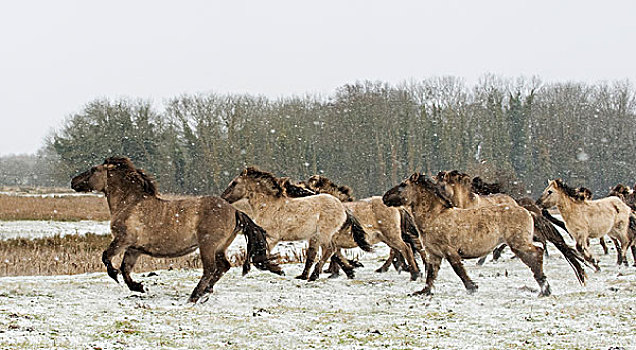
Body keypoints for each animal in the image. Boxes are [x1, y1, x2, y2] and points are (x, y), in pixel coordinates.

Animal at [69, 157, 280, 302]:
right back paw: (205, 293)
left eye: (93, 169)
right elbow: (126, 269)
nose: (73, 181)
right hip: (219, 247)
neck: (130, 204)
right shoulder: (134, 249)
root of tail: (235, 210)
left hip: (207, 245)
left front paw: (117, 276)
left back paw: (194, 296)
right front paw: (139, 287)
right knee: (223, 267)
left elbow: (107, 257)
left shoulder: (123, 240)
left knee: (211, 269)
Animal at [222, 167, 372, 282]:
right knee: (329, 251)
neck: (268, 205)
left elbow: (260, 258)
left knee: (330, 249)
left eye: (234, 183)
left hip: (323, 234)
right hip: (320, 236)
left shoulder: (272, 237)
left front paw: (279, 269)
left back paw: (314, 276)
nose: (223, 199)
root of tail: (342, 207)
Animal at [382, 174, 552, 296]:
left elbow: (458, 269)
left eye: (403, 185)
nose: (384, 197)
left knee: (537, 253)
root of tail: (528, 212)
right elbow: (431, 274)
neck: (435, 216)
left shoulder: (449, 250)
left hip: (519, 244)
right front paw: (423, 292)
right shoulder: (434, 254)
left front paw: (472, 287)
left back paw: (544, 288)